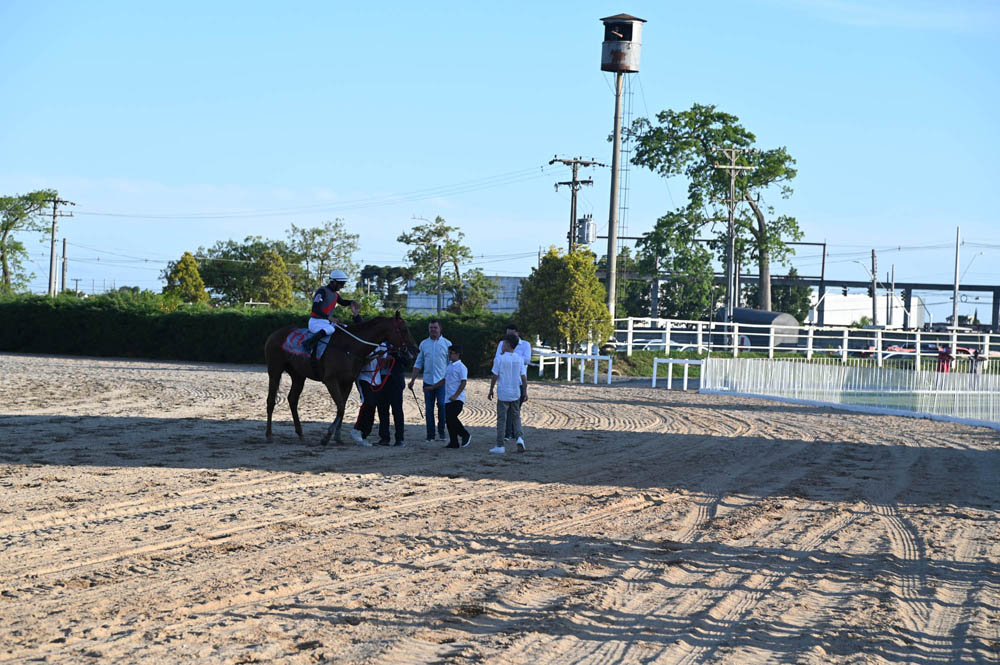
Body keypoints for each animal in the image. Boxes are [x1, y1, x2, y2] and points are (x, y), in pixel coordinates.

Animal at [264, 312, 418, 445]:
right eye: (404, 330)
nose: (416, 350)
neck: (349, 347)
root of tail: (275, 334)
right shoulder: (330, 380)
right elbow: (341, 407)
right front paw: (327, 436)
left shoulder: (347, 382)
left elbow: (342, 407)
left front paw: (337, 437)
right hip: (275, 370)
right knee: (271, 400)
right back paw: (269, 435)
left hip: (298, 375)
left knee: (292, 400)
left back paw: (300, 435)